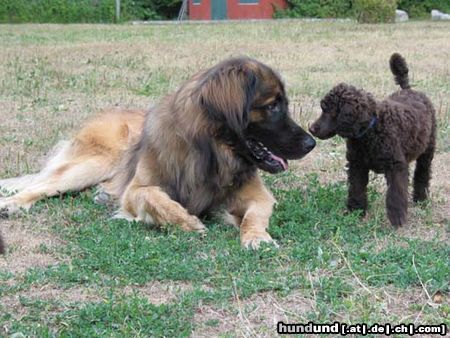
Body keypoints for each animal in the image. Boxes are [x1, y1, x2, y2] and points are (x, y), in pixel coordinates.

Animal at [0, 56, 316, 250]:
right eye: (273, 106)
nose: (311, 143)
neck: (211, 152)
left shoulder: (259, 196)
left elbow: (254, 216)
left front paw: (256, 236)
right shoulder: (137, 189)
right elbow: (153, 197)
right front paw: (187, 221)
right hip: (93, 163)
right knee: (42, 185)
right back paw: (13, 203)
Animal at [310, 53, 436, 227]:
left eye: (330, 111)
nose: (311, 129)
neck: (370, 131)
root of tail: (410, 90)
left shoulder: (395, 167)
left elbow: (396, 195)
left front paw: (397, 219)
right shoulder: (357, 165)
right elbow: (356, 189)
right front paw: (355, 212)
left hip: (427, 150)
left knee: (423, 173)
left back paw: (421, 198)